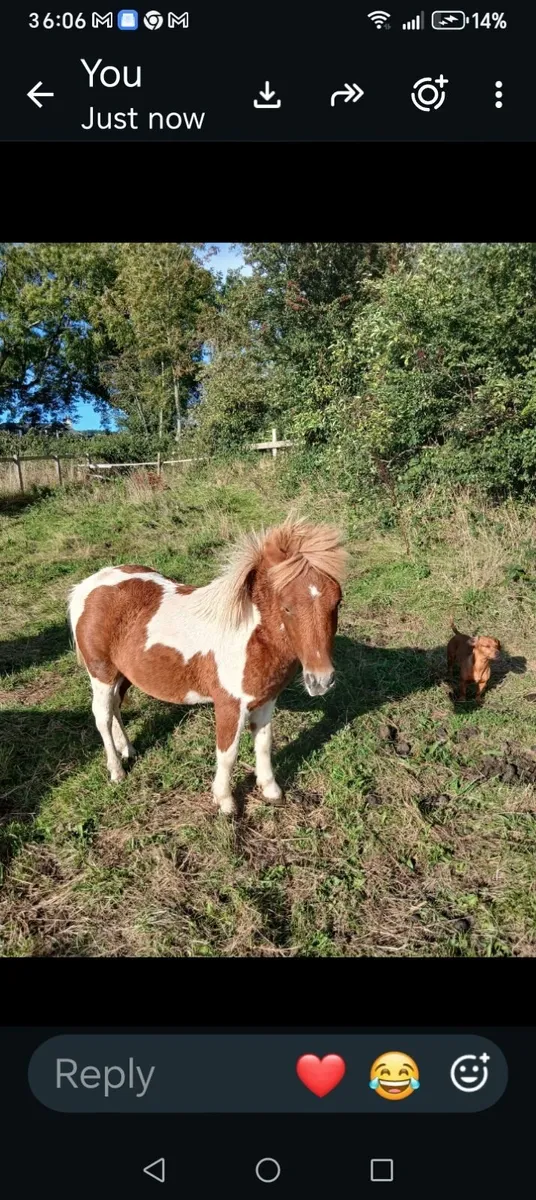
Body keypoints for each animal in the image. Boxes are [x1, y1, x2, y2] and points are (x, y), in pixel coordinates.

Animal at [68, 517, 347, 814]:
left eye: (337, 601)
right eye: (287, 607)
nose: (321, 680)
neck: (248, 634)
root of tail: (88, 585)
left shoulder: (265, 700)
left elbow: (264, 743)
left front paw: (271, 790)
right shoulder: (229, 704)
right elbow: (227, 752)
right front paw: (225, 801)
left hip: (124, 675)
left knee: (116, 708)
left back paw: (128, 750)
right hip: (102, 674)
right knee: (102, 716)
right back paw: (117, 771)